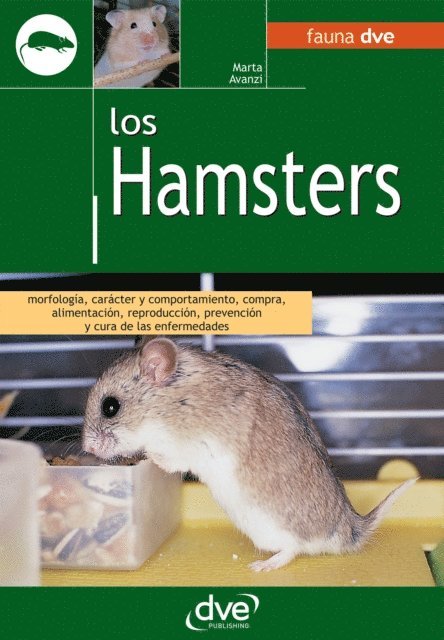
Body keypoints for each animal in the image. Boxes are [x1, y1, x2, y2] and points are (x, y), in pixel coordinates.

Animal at [82, 338, 416, 572]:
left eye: (110, 407)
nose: (88, 449)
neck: (168, 401)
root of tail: (351, 530)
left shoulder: (184, 445)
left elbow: (164, 458)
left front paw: (145, 456)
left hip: (270, 528)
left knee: (293, 549)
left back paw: (261, 566)